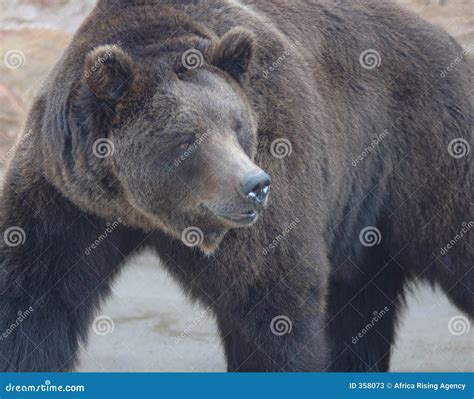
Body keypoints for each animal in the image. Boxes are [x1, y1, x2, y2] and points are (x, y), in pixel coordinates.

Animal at [0, 0, 472, 374]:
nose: (255, 185)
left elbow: (271, 302)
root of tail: (448, 41)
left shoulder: (279, 165)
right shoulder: (64, 196)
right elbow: (32, 297)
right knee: (356, 306)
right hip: (363, 221)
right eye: (187, 138)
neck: (138, 211)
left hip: (426, 148)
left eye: (238, 126)